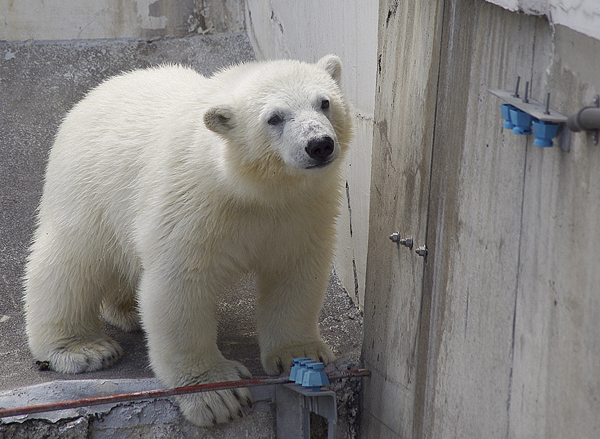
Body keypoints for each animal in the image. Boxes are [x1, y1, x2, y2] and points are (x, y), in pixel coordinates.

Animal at [23, 54, 354, 426]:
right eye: (274, 117)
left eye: (324, 102)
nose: (319, 144)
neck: (251, 190)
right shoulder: (191, 204)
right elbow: (180, 286)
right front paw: (217, 395)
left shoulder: (301, 211)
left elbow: (295, 272)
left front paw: (301, 354)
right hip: (89, 187)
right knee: (71, 261)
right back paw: (82, 348)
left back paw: (127, 310)